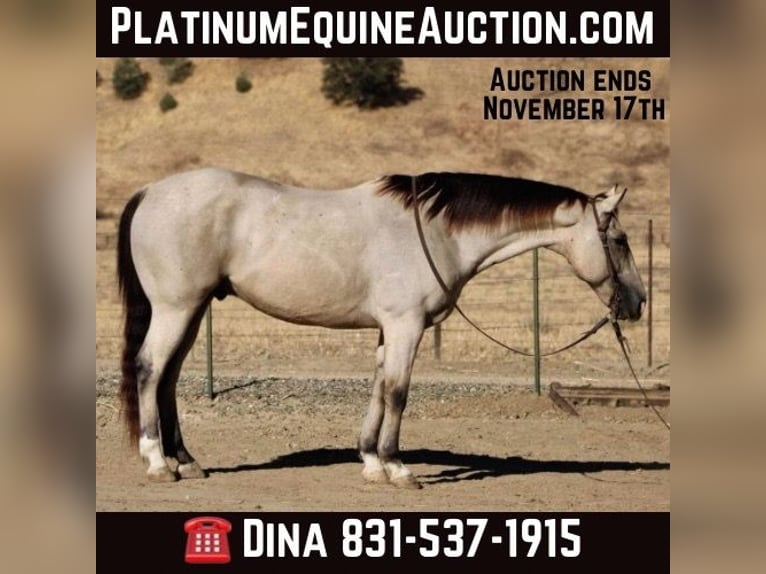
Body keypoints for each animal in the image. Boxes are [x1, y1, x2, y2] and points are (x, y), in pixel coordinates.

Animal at [117, 168, 646, 489]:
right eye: (619, 239)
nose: (639, 303)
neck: (436, 231)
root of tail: (150, 192)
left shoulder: (388, 330)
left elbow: (377, 388)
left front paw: (370, 462)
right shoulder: (406, 326)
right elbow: (398, 393)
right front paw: (397, 467)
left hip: (191, 311)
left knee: (168, 377)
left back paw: (186, 460)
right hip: (176, 308)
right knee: (149, 369)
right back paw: (158, 462)